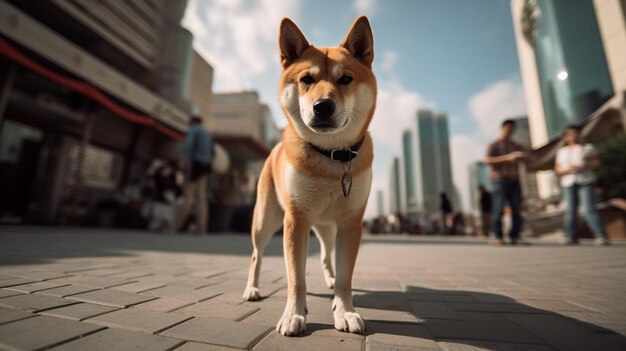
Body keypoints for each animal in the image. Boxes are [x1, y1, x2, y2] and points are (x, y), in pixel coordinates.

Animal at [241, 16, 372, 338]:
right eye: (306, 80)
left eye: (345, 79)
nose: (322, 106)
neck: (331, 156)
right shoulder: (296, 219)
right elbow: (295, 276)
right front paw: (294, 315)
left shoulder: (350, 222)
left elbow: (345, 276)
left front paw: (345, 310)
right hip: (266, 219)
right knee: (256, 255)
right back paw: (252, 289)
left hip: (327, 227)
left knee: (325, 255)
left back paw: (330, 285)